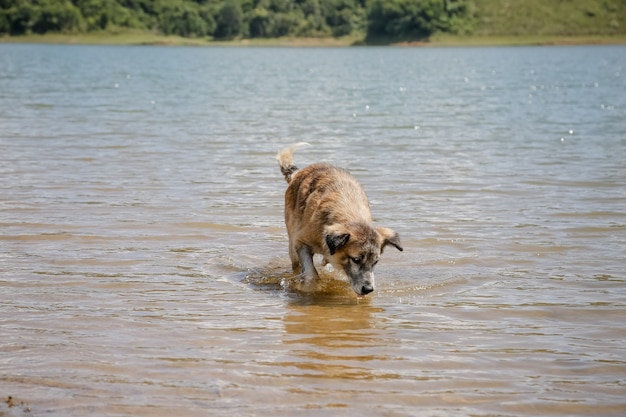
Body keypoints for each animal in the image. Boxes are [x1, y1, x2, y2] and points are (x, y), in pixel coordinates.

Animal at [276, 143, 402, 296]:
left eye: (375, 262)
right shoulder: (301, 241)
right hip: (292, 237)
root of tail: (301, 172)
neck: (351, 217)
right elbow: (311, 272)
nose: (368, 290)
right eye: (356, 259)